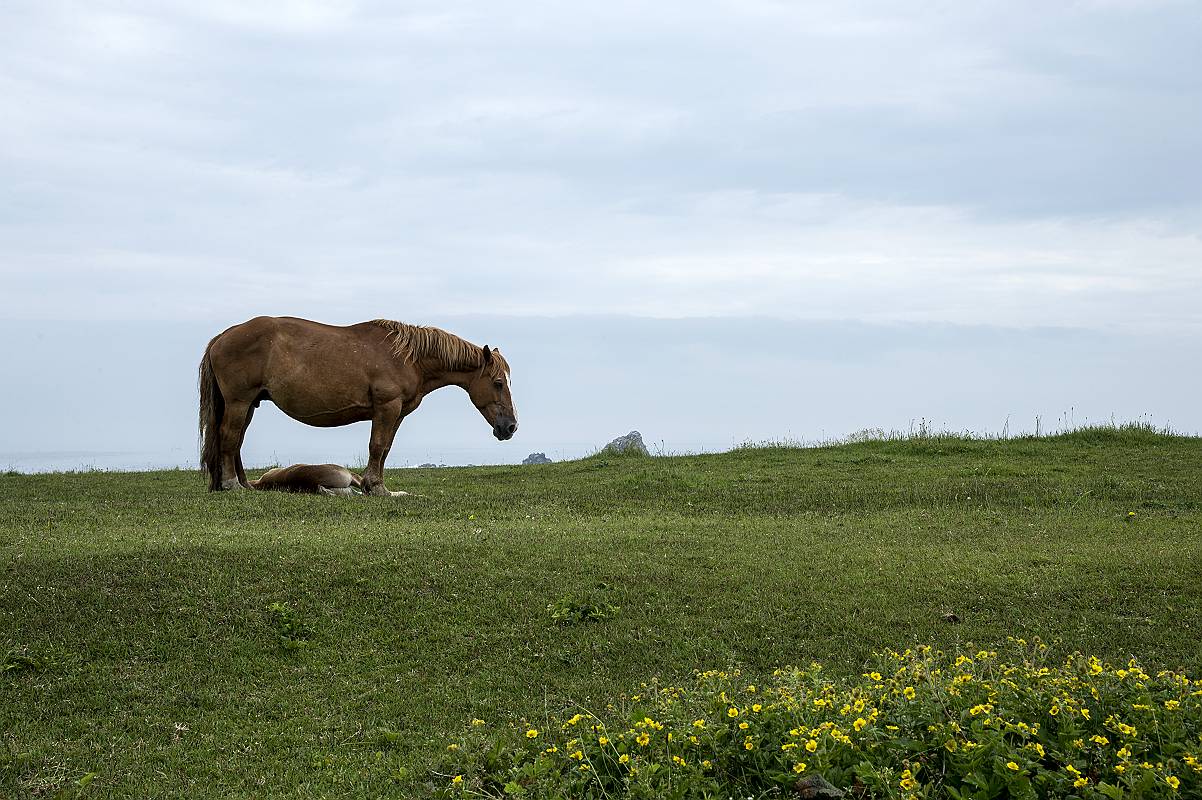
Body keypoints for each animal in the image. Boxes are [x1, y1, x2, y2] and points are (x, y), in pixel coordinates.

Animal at [198, 317, 516, 492]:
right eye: (499, 383)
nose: (510, 427)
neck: (408, 357)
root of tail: (223, 337)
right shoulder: (387, 407)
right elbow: (377, 446)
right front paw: (374, 487)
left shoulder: (397, 413)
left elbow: (385, 449)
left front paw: (376, 486)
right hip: (239, 402)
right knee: (229, 437)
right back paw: (231, 485)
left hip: (250, 404)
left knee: (236, 442)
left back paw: (243, 484)